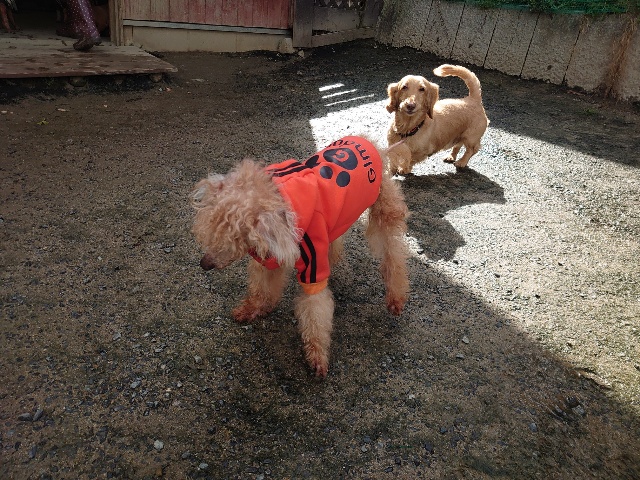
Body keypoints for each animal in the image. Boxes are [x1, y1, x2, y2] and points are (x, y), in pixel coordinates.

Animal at [191, 136, 410, 377]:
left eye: (237, 236)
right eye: (213, 229)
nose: (204, 264)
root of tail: (373, 145)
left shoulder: (312, 263)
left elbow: (315, 311)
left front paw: (317, 357)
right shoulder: (270, 255)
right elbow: (261, 288)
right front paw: (253, 309)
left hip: (384, 209)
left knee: (393, 253)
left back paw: (396, 297)